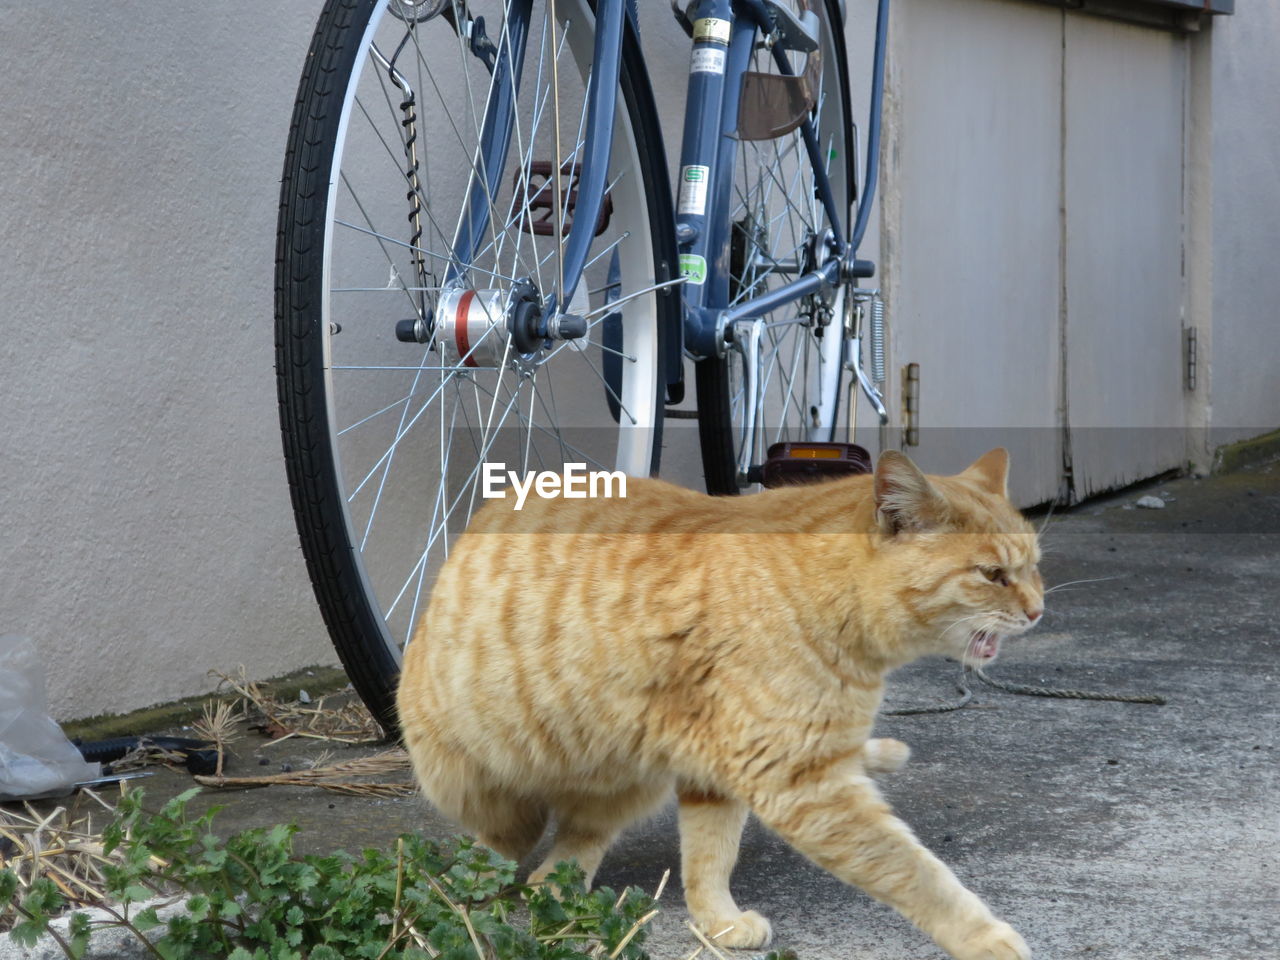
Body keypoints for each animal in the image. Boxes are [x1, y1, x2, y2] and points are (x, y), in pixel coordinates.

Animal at [396, 450, 1039, 960]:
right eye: (992, 574)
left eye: (1033, 566)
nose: (1037, 611)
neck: (826, 600)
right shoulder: (805, 785)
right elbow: (917, 872)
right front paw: (986, 939)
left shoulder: (725, 767)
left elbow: (711, 855)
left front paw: (718, 922)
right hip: (480, 778)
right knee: (497, 846)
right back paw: (471, 885)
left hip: (630, 779)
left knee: (578, 838)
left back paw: (554, 886)